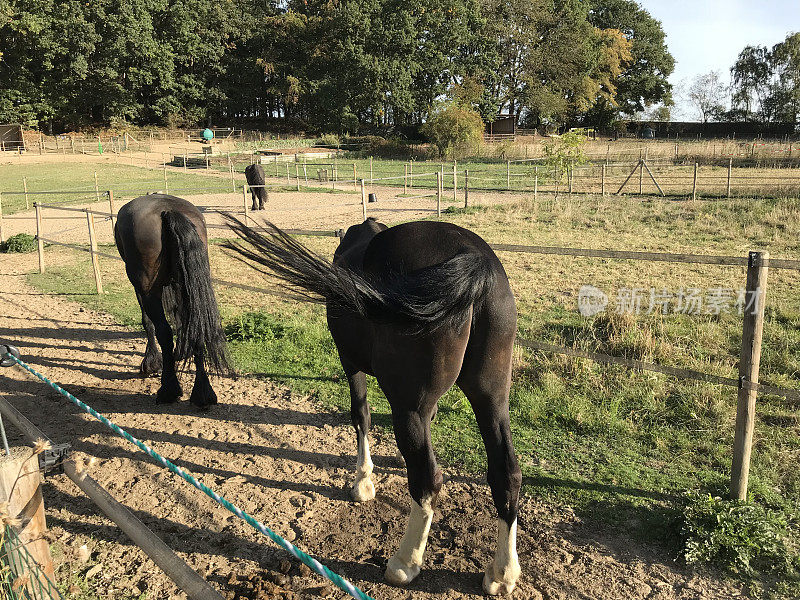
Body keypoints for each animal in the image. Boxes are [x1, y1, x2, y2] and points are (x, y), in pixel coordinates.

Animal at [115, 193, 230, 408]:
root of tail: (168, 210)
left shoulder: (141, 289)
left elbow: (148, 323)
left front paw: (151, 362)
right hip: (189, 283)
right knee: (196, 327)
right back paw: (202, 393)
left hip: (148, 290)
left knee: (164, 332)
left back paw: (169, 390)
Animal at [227, 217, 524, 596]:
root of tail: (474, 260)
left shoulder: (349, 361)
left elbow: (361, 416)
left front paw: (363, 482)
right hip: (492, 397)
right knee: (506, 474)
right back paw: (502, 573)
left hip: (410, 406)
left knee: (428, 480)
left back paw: (405, 563)